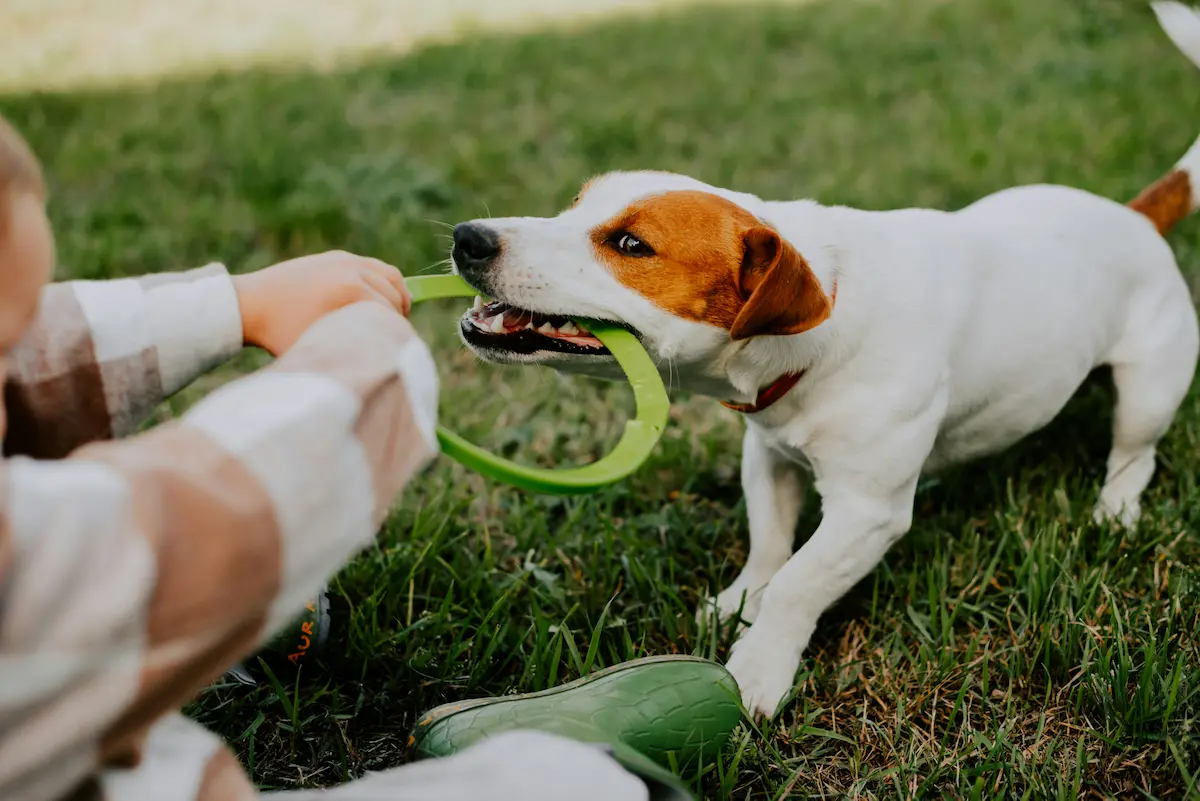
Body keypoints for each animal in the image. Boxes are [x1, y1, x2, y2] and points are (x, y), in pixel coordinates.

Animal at [448, 0, 1200, 714]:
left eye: (632, 244)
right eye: (571, 206)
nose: (467, 237)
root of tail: (1136, 214)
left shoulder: (868, 511)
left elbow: (797, 585)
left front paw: (757, 668)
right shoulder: (769, 456)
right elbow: (770, 548)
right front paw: (739, 603)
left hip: (1150, 389)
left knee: (1134, 453)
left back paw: (1115, 509)